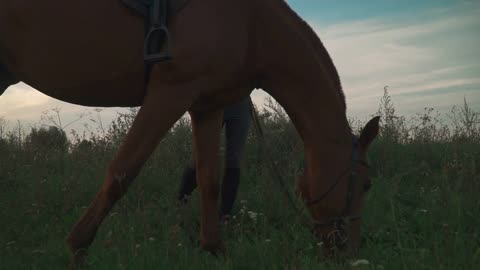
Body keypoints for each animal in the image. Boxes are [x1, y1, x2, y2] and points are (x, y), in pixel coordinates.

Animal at [1, 0, 380, 266]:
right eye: (365, 184)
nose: (349, 252)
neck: (252, 24)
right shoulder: (171, 92)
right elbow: (122, 173)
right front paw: (78, 247)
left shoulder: (207, 105)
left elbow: (209, 179)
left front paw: (216, 250)